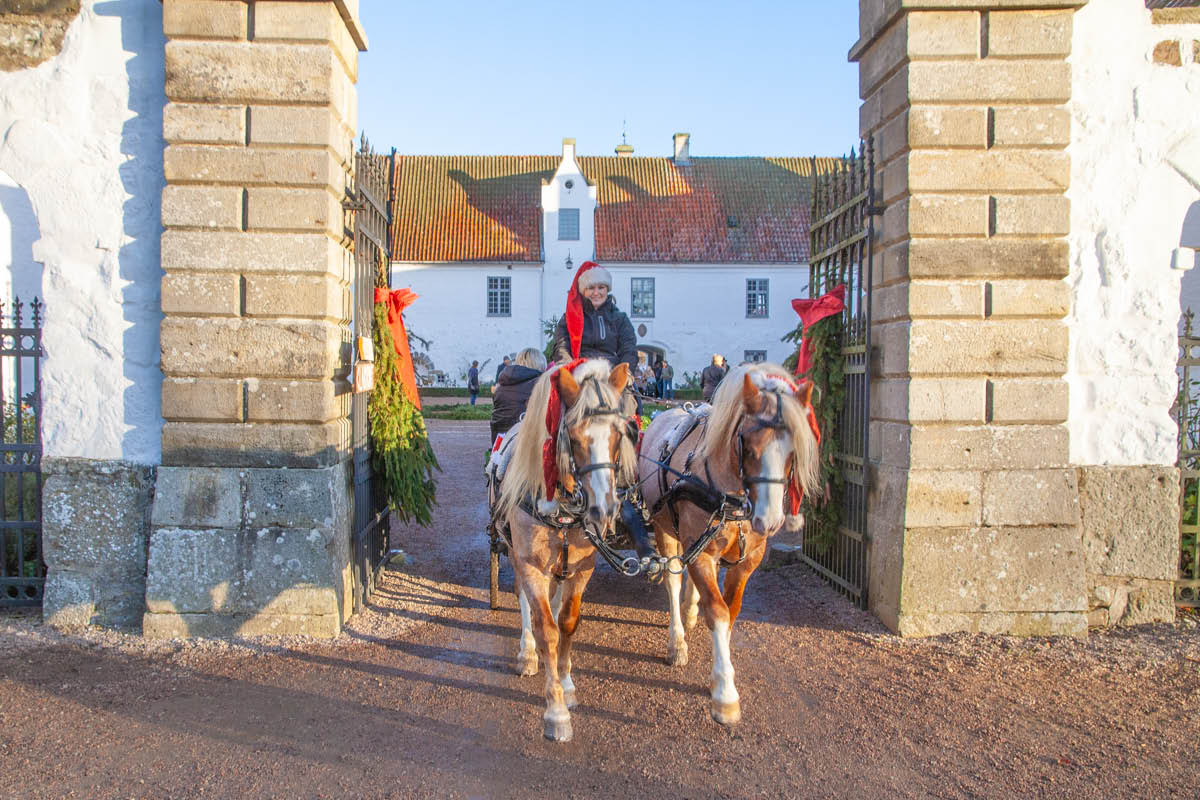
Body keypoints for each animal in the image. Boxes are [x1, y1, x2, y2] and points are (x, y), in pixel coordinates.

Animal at [489, 359, 638, 743]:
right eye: (574, 435)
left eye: (619, 434)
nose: (605, 510)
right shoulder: (530, 564)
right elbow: (546, 627)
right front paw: (555, 711)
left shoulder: (583, 567)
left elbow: (567, 623)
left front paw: (567, 683)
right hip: (515, 553)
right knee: (524, 602)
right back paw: (527, 654)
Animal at [638, 367, 825, 729]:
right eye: (748, 446)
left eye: (793, 451)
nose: (769, 520)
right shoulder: (702, 553)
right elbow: (718, 611)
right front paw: (725, 693)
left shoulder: (748, 559)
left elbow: (731, 609)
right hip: (665, 528)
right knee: (674, 578)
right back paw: (677, 640)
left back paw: (690, 612)